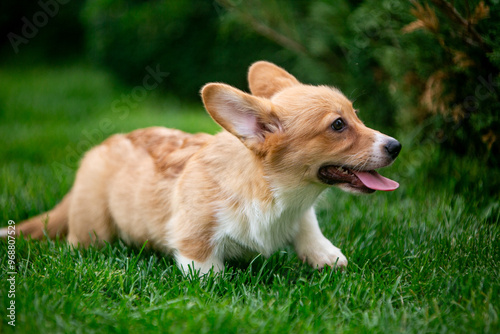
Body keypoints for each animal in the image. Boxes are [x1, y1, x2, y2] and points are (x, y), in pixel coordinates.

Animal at [1, 62, 400, 274]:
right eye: (338, 125)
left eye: (356, 115)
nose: (396, 146)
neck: (277, 192)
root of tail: (96, 152)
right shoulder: (193, 233)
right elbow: (203, 262)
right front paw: (214, 280)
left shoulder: (301, 213)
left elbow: (308, 227)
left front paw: (326, 256)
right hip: (94, 229)